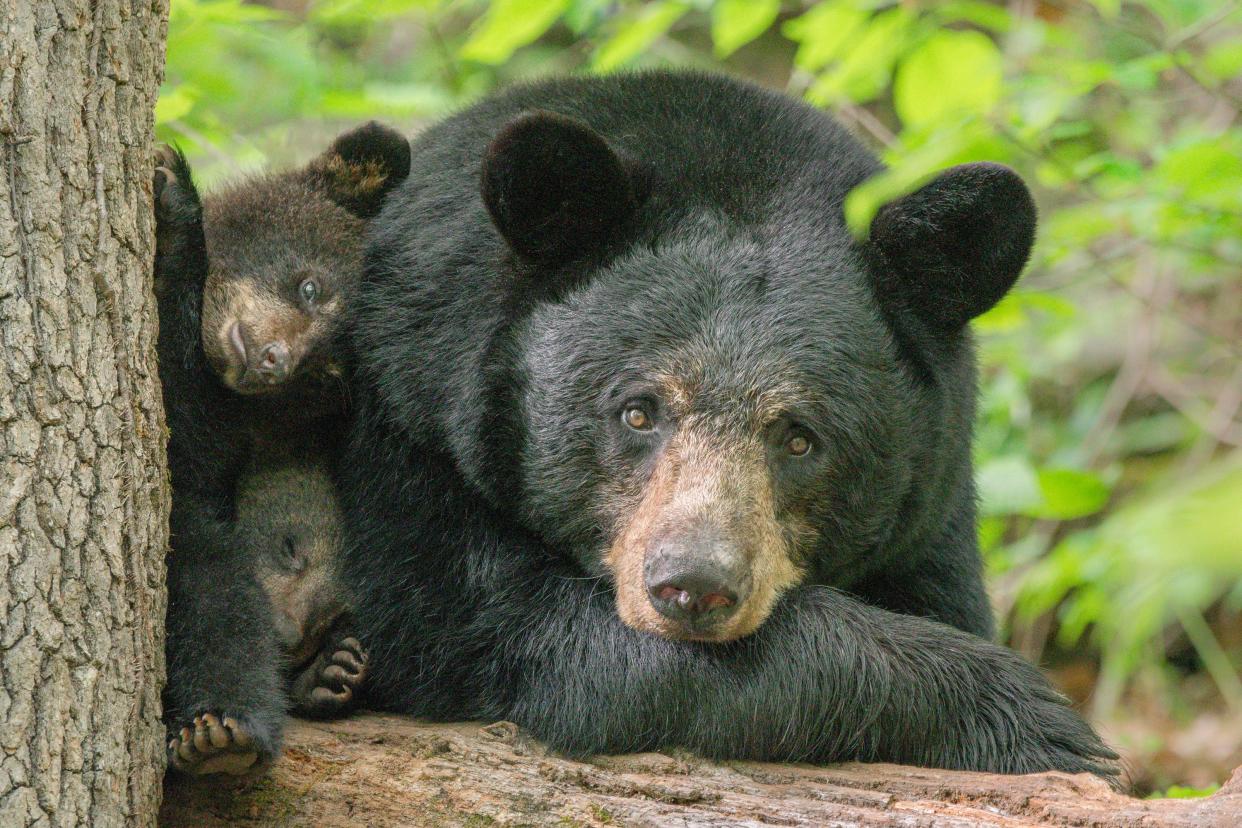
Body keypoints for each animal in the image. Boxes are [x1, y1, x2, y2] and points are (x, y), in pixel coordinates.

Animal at [342, 71, 1127, 784]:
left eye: (800, 437)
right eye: (638, 411)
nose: (693, 587)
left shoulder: (929, 522)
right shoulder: (388, 443)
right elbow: (511, 632)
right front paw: (1026, 714)